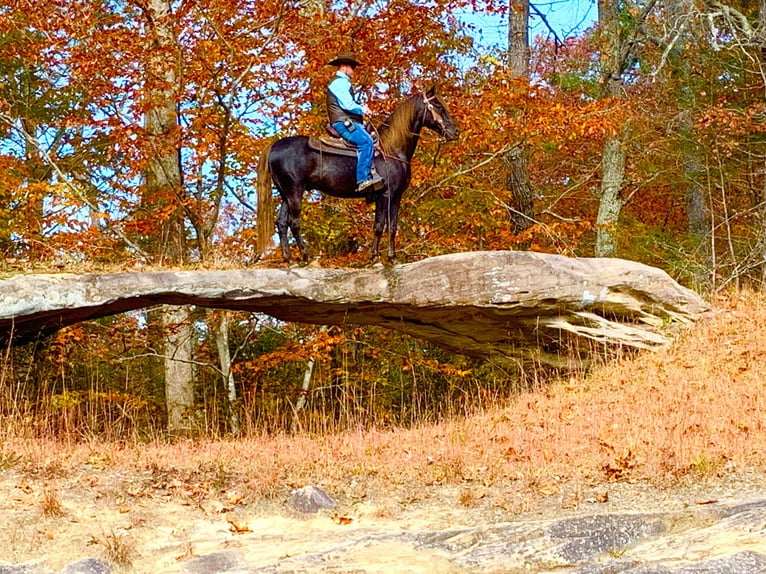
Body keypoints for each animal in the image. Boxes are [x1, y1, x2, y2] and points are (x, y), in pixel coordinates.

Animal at [258, 86, 462, 266]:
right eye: (438, 106)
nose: (455, 132)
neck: (392, 149)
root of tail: (275, 146)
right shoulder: (385, 195)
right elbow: (379, 226)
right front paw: (375, 259)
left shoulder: (396, 196)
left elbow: (392, 227)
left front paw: (392, 258)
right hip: (295, 192)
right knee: (293, 223)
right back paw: (306, 257)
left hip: (286, 194)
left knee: (281, 223)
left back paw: (289, 259)